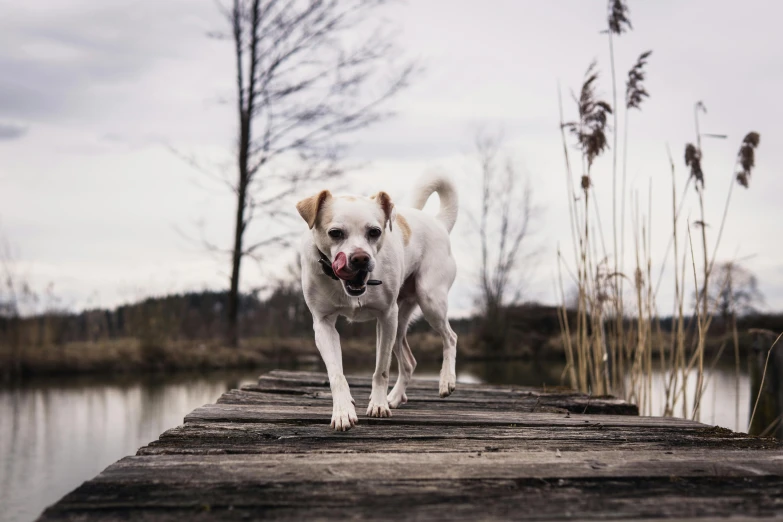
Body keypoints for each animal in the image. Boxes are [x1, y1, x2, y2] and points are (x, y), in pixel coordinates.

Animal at [298, 173, 460, 428]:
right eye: (335, 233)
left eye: (374, 232)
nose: (360, 258)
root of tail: (438, 223)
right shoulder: (323, 325)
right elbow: (336, 374)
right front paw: (343, 411)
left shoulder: (385, 318)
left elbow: (381, 370)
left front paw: (378, 405)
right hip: (400, 323)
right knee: (409, 362)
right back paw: (396, 397)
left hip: (429, 301)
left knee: (450, 337)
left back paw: (446, 380)